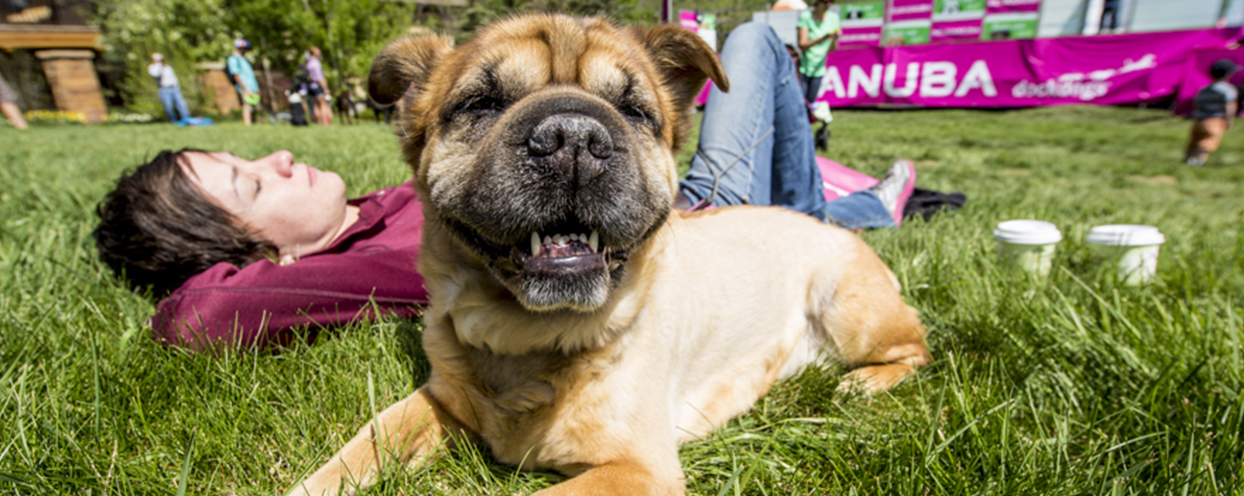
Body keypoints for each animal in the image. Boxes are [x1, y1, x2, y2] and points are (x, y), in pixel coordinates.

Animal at [291, 13, 930, 494]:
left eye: (636, 110)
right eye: (481, 103)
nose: (573, 137)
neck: (525, 336)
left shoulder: (637, 470)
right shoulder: (436, 401)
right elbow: (365, 443)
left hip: (850, 313)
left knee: (918, 349)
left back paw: (864, 384)